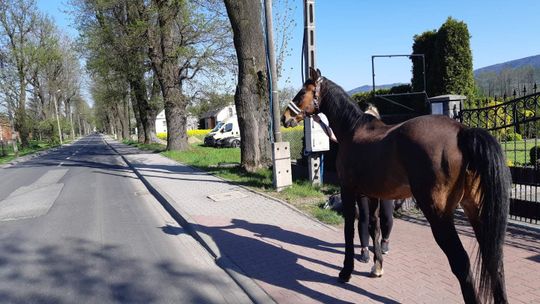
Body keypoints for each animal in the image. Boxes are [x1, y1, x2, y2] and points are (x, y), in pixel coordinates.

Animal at [282, 69, 510, 304]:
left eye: (302, 92)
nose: (285, 117)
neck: (352, 130)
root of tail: (461, 132)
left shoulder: (349, 190)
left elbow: (348, 230)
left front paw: (346, 272)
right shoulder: (372, 195)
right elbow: (374, 228)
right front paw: (377, 267)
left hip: (439, 215)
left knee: (461, 262)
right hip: (475, 208)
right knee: (495, 260)